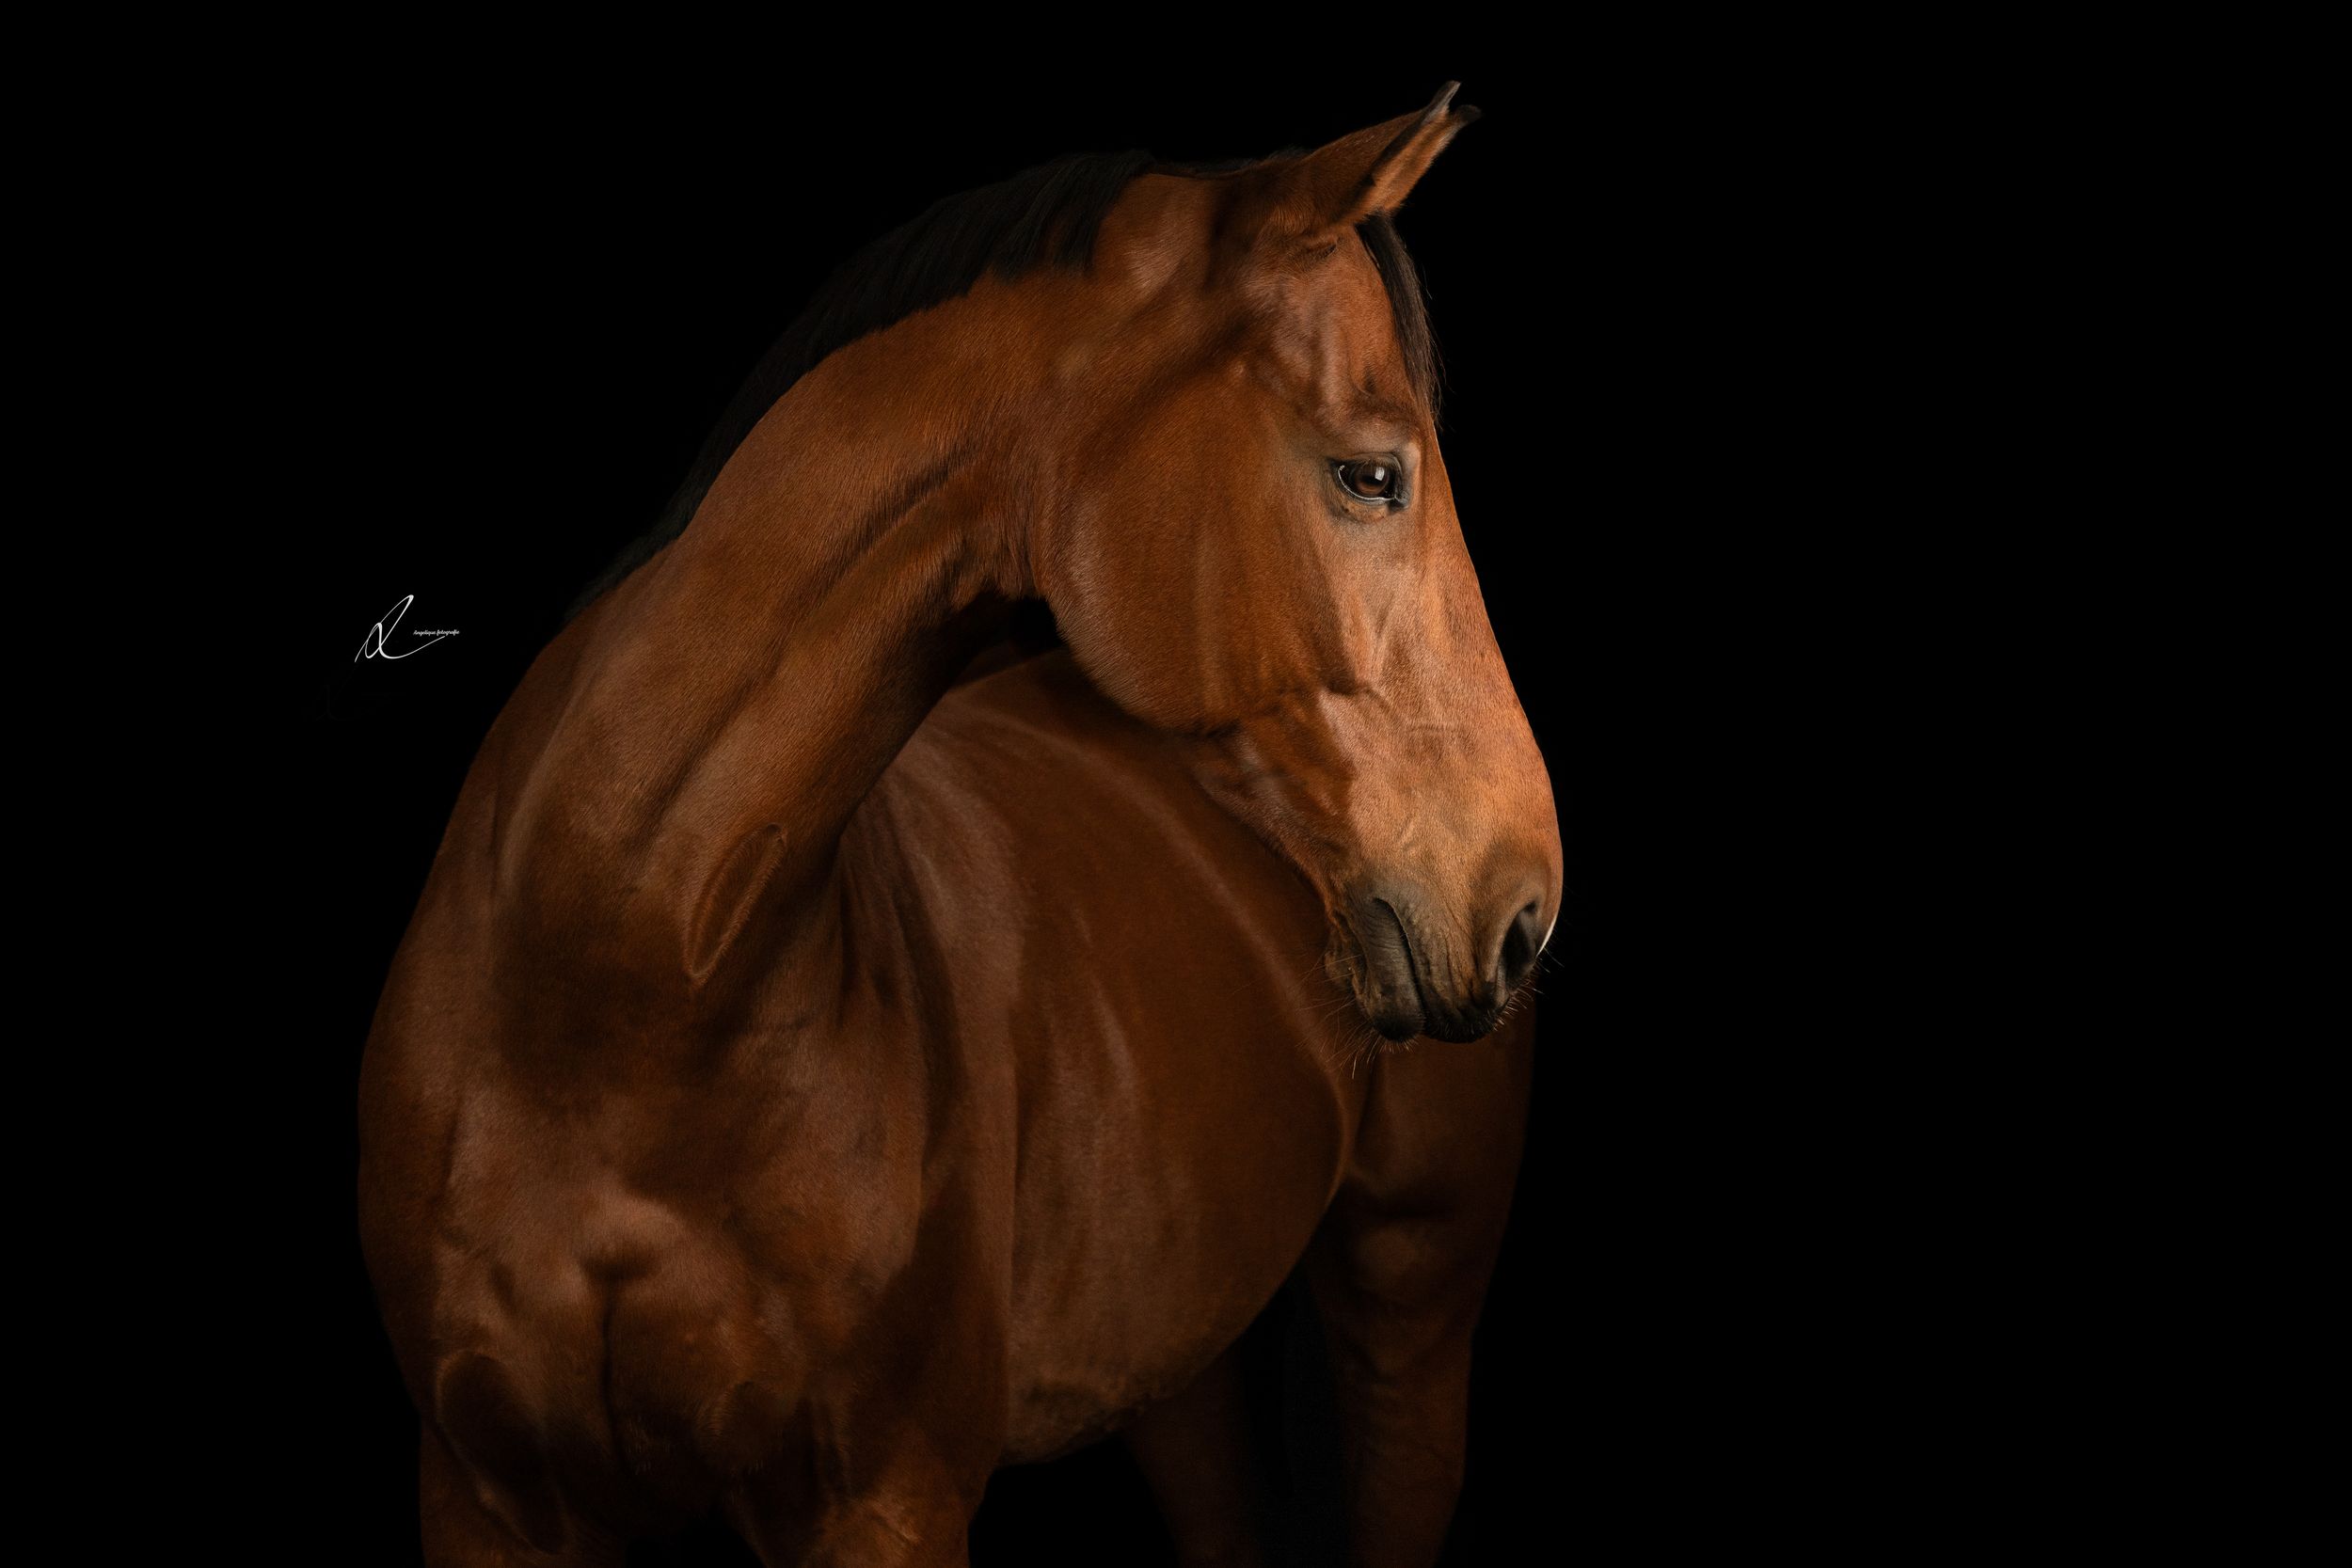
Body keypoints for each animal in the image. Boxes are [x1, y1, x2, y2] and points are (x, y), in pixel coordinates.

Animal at [358, 83, 1561, 1567]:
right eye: (1372, 475)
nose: (1522, 902)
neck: (609, 999)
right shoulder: (487, 1494)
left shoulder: (885, 1501)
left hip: (1412, 1296)